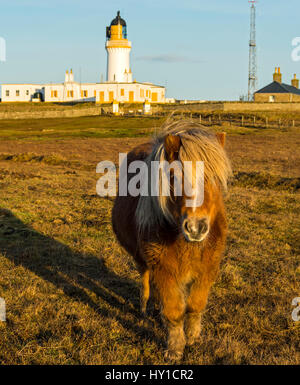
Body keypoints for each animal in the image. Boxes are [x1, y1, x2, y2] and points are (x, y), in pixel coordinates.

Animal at [111, 120, 231, 360]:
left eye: (214, 177)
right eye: (174, 177)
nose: (195, 227)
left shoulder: (207, 270)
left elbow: (195, 305)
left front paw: (193, 337)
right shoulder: (164, 269)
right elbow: (174, 310)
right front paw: (175, 348)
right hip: (142, 260)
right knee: (146, 281)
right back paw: (146, 307)